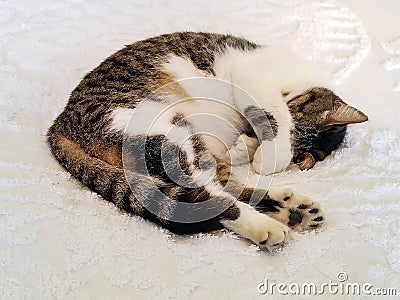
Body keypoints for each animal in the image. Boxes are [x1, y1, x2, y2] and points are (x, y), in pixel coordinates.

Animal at [47, 31, 368, 250]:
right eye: (297, 123)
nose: (254, 141)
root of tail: (59, 123)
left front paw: (248, 149)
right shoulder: (253, 76)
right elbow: (273, 113)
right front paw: (269, 153)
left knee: (221, 185)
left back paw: (293, 210)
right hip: (161, 130)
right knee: (203, 196)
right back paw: (266, 223)